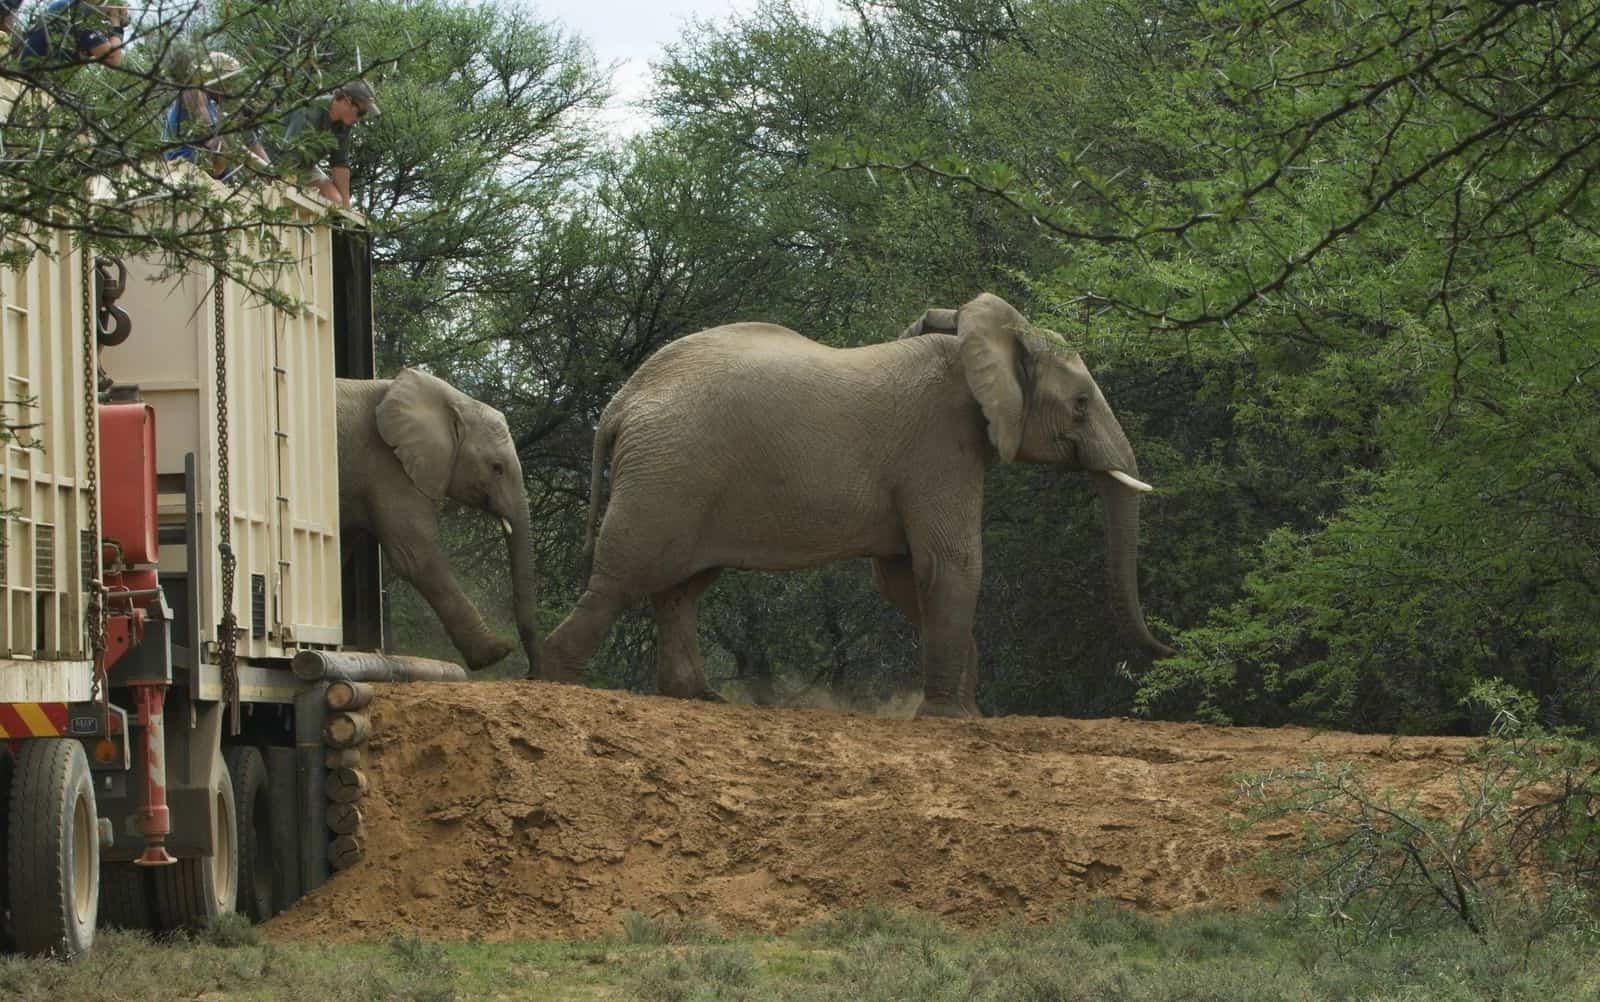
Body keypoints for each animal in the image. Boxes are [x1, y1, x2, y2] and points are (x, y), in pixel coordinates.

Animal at [539, 292, 1174, 717]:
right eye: (1082, 405)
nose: (1167, 648)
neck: (975, 340)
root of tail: (622, 401)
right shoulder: (940, 443)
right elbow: (950, 564)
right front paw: (948, 718)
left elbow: (900, 579)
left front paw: (966, 711)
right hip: (668, 472)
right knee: (626, 577)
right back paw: (558, 679)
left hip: (682, 478)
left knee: (680, 588)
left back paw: (701, 697)